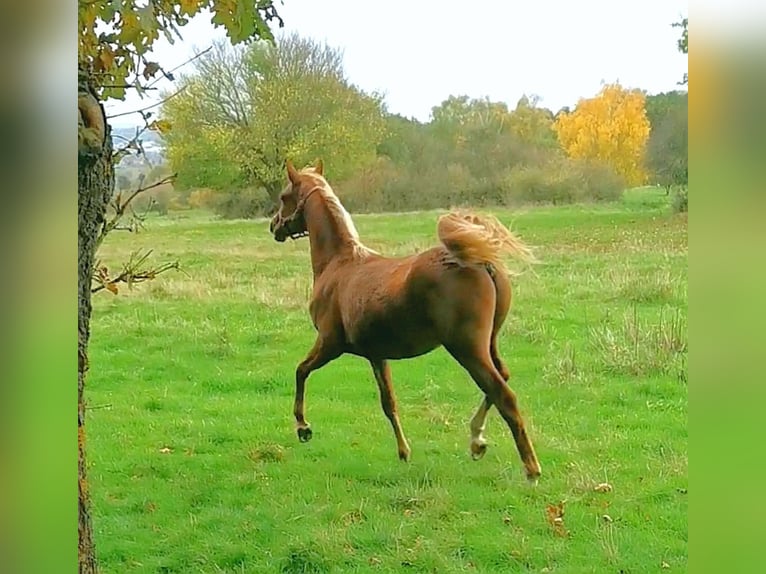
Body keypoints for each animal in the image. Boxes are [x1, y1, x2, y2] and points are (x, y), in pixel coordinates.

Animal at [272, 160, 544, 484]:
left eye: (284, 196)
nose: (274, 226)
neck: (339, 264)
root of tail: (481, 262)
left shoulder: (330, 343)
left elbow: (301, 371)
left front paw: (303, 427)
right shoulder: (376, 355)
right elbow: (388, 402)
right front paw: (404, 452)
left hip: (467, 348)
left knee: (503, 393)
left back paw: (530, 468)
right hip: (488, 342)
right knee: (502, 377)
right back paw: (477, 440)